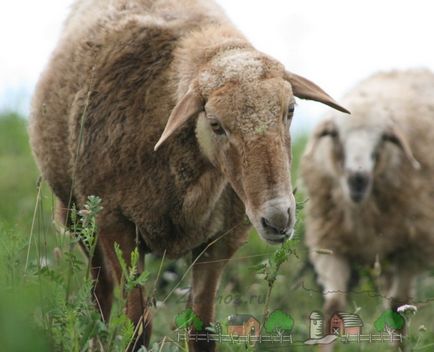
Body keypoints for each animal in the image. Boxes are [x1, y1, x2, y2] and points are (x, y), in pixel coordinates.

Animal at [30, 0, 348, 350]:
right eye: (216, 124)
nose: (278, 219)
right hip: (79, 217)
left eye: (289, 110)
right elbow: (137, 329)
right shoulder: (116, 226)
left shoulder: (219, 242)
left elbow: (201, 332)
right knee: (100, 294)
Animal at [300, 68, 434, 350]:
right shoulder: (331, 246)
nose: (358, 178)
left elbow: (398, 308)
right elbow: (333, 307)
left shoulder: (410, 250)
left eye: (382, 137)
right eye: (336, 134)